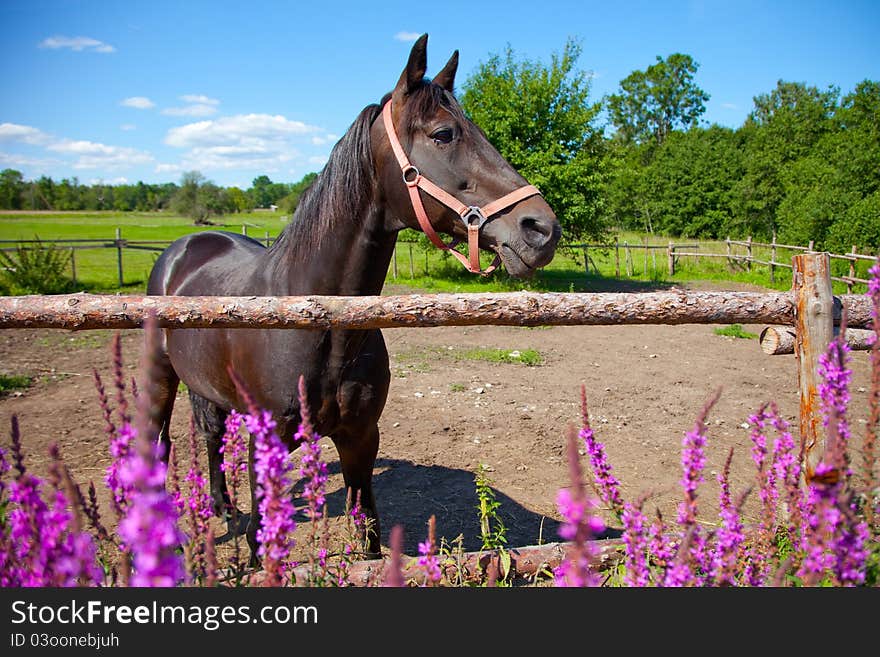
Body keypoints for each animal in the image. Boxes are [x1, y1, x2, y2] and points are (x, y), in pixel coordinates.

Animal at [144, 33, 556, 560]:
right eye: (444, 134)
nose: (542, 229)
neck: (317, 322)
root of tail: (187, 246)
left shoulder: (360, 440)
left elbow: (370, 540)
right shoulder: (266, 447)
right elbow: (262, 545)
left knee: (211, 434)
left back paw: (220, 506)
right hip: (160, 380)